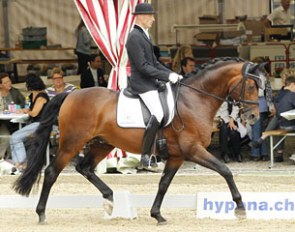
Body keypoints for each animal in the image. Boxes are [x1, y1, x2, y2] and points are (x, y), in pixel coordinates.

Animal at [13, 57, 264, 225]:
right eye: (252, 86)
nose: (253, 117)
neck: (195, 99)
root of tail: (70, 94)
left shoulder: (177, 156)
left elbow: (164, 184)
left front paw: (157, 214)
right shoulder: (193, 150)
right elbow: (225, 171)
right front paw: (240, 207)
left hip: (102, 143)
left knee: (85, 168)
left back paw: (111, 199)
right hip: (71, 143)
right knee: (51, 173)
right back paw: (41, 213)